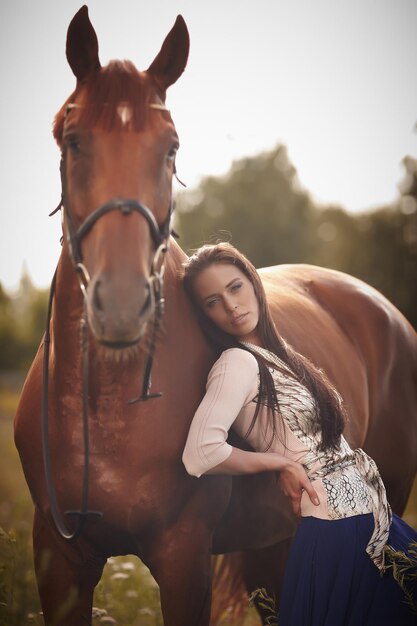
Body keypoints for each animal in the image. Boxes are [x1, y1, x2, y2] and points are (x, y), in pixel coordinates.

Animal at [13, 6, 416, 624]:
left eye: (171, 148)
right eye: (73, 139)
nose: (122, 304)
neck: (108, 407)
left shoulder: (184, 559)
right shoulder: (57, 558)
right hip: (276, 544)